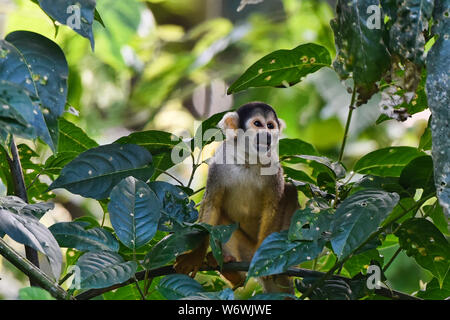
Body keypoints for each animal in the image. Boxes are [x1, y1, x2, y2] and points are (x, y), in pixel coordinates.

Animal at [175, 102, 298, 292]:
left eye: (270, 126)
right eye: (258, 124)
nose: (268, 135)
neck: (248, 159)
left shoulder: (274, 164)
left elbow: (274, 204)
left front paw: (265, 255)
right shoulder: (218, 162)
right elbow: (212, 204)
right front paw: (195, 255)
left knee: (291, 192)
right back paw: (232, 273)